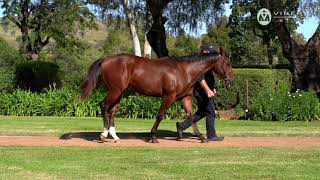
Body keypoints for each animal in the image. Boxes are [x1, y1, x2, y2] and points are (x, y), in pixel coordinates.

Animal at [81, 47, 234, 143]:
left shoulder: (185, 98)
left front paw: (201, 137)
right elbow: (160, 115)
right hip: (115, 91)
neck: (184, 70)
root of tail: (105, 60)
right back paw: (103, 135)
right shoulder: (168, 96)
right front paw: (153, 137)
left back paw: (114, 136)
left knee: (112, 110)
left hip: (119, 92)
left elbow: (191, 117)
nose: (231, 79)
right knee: (104, 106)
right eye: (227, 62)